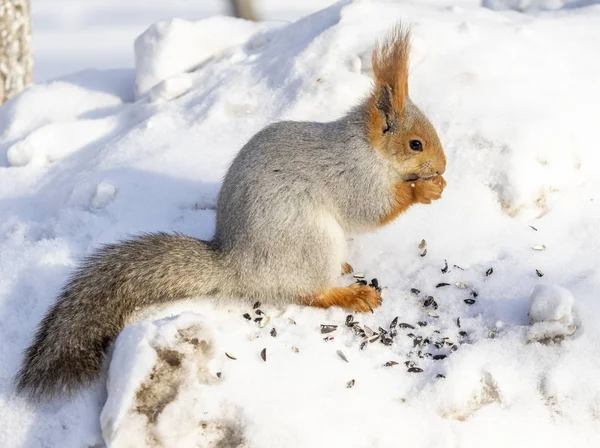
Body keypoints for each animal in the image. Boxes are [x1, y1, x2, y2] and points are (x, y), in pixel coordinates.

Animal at [14, 26, 446, 400]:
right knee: (309, 292)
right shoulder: (353, 176)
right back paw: (350, 294)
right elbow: (371, 209)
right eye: (415, 144)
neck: (367, 148)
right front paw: (424, 189)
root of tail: (237, 265)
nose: (443, 165)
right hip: (311, 240)